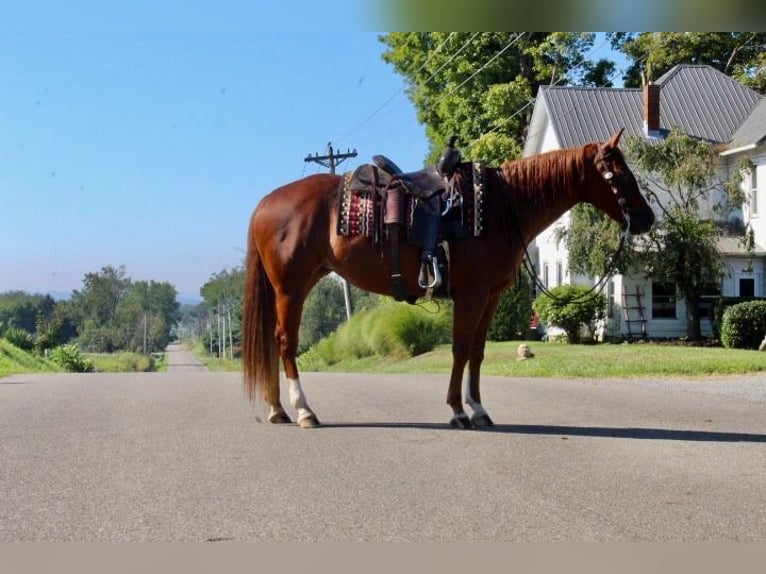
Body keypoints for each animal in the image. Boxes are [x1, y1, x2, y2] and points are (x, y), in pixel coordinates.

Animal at [243, 128, 656, 430]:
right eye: (620, 174)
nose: (646, 219)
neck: (502, 207)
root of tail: (264, 204)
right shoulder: (471, 294)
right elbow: (459, 349)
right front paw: (458, 411)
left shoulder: (490, 296)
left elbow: (477, 352)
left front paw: (479, 409)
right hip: (291, 288)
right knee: (285, 343)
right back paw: (303, 411)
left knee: (273, 343)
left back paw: (278, 410)